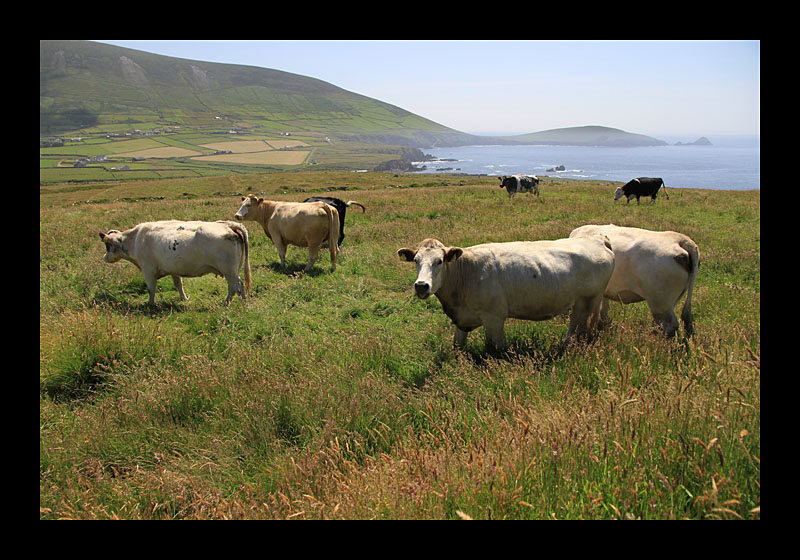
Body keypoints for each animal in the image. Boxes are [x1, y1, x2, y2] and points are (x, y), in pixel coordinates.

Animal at [99, 220, 250, 306]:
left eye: (107, 245)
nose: (104, 257)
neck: (135, 239)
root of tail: (229, 225)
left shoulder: (148, 270)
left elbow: (151, 289)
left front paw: (150, 304)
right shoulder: (173, 270)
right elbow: (178, 285)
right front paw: (184, 299)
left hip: (229, 270)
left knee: (238, 286)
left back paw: (241, 303)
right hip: (230, 271)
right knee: (233, 288)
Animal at [396, 235, 616, 350]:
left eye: (439, 261)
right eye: (416, 261)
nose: (421, 285)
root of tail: (597, 239)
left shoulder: (494, 318)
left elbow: (496, 349)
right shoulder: (462, 319)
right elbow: (458, 345)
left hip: (587, 301)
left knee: (577, 329)